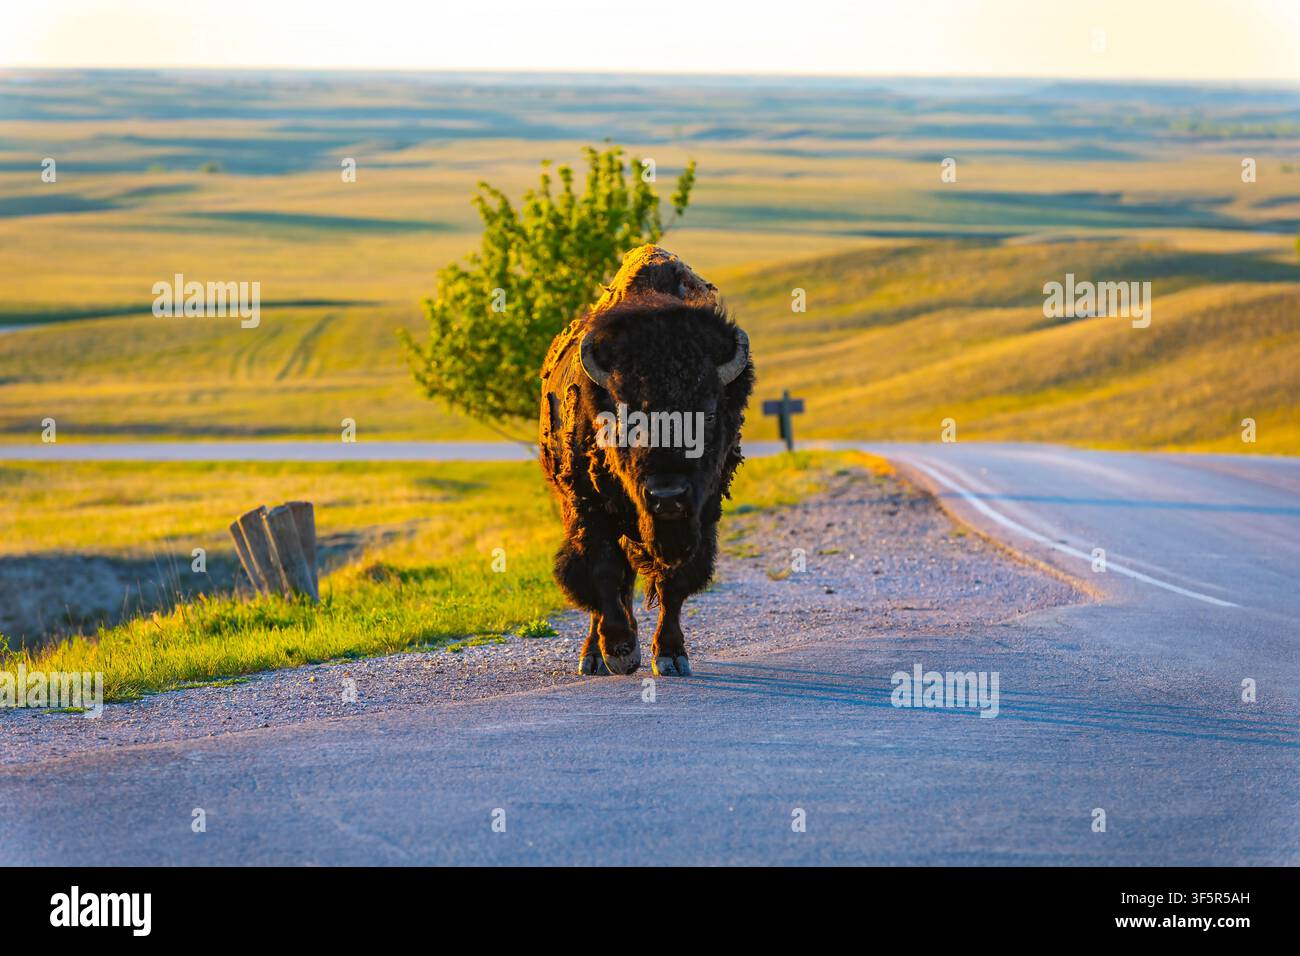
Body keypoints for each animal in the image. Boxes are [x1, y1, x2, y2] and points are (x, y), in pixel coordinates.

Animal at [539, 246, 754, 676]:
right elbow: (602, 571)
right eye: (626, 413)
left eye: (708, 412)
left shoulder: (701, 512)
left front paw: (670, 654)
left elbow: (676, 580)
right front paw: (620, 650)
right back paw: (594, 656)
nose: (667, 495)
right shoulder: (587, 507)